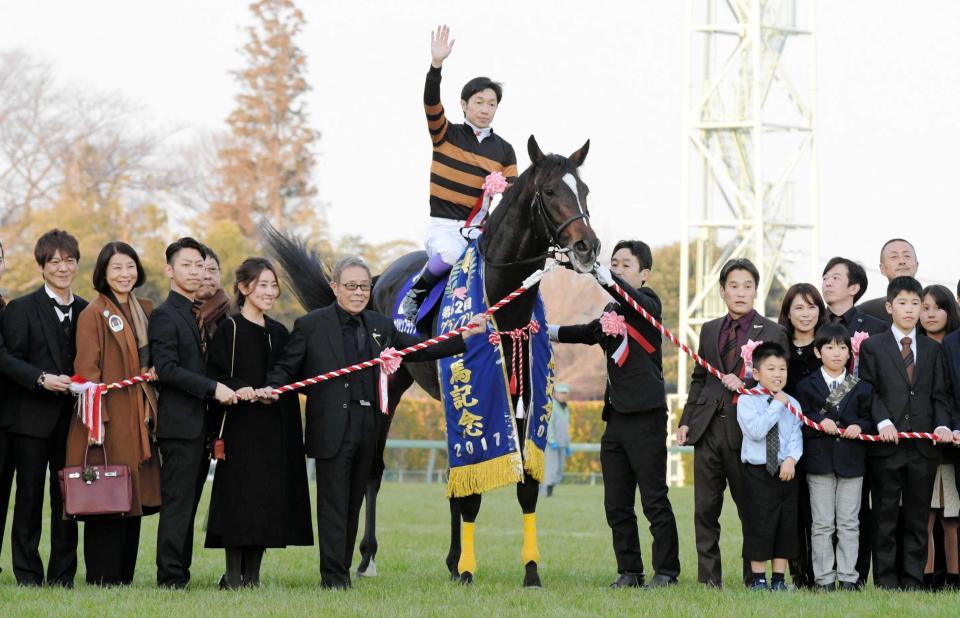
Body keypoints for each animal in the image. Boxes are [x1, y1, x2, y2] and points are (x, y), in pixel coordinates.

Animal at [268, 136, 600, 588]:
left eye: (584, 191)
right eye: (550, 191)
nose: (588, 247)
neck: (504, 307)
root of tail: (378, 280)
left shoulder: (527, 401)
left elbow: (525, 488)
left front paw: (528, 570)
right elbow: (469, 492)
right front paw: (467, 569)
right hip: (387, 388)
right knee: (372, 470)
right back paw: (366, 557)